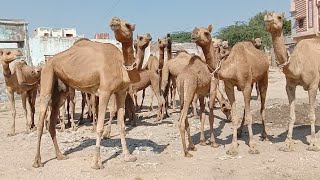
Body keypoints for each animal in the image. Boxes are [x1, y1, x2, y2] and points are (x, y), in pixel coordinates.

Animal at [32, 16, 140, 169]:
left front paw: (128, 156)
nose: (115, 20)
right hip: (47, 74)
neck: (120, 66)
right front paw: (96, 163)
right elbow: (99, 127)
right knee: (42, 120)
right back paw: (37, 161)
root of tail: (47, 61)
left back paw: (60, 155)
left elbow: (121, 125)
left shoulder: (121, 92)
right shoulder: (105, 91)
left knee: (52, 122)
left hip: (60, 90)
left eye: (128, 25)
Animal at [192, 24, 270, 155]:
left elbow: (249, 117)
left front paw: (253, 146)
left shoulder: (246, 85)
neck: (232, 67)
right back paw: (239, 132)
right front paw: (233, 147)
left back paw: (264, 135)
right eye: (195, 30)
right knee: (247, 107)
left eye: (207, 33)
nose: (194, 34)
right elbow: (234, 117)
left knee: (262, 105)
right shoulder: (229, 86)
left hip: (264, 77)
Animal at [266, 11, 320, 152]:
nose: (268, 17)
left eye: (279, 17)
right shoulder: (289, 86)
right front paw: (287, 143)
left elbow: (311, 115)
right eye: (264, 16)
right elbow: (291, 115)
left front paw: (313, 144)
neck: (297, 65)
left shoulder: (313, 85)